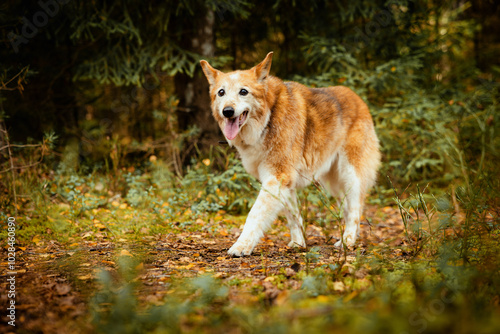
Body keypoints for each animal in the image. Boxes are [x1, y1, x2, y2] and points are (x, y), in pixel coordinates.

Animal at [199, 52, 378, 256]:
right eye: (221, 93)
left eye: (243, 92)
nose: (227, 111)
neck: (268, 118)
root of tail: (358, 99)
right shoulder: (286, 184)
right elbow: (294, 218)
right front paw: (299, 244)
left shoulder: (276, 178)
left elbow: (254, 214)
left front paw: (241, 246)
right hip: (333, 183)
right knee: (348, 210)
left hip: (350, 176)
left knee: (355, 210)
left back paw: (348, 241)